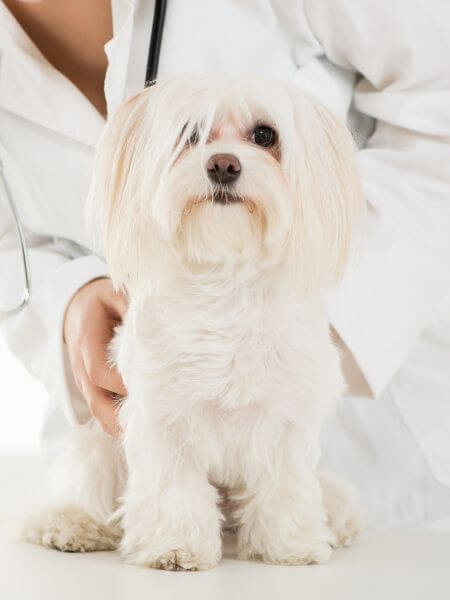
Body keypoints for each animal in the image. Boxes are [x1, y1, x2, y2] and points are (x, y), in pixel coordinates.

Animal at [22, 76, 366, 572]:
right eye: (191, 135)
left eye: (266, 135)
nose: (223, 164)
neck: (225, 283)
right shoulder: (163, 418)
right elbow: (173, 487)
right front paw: (175, 545)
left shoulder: (286, 417)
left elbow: (286, 484)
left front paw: (290, 544)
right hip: (99, 444)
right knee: (90, 483)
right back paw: (72, 523)